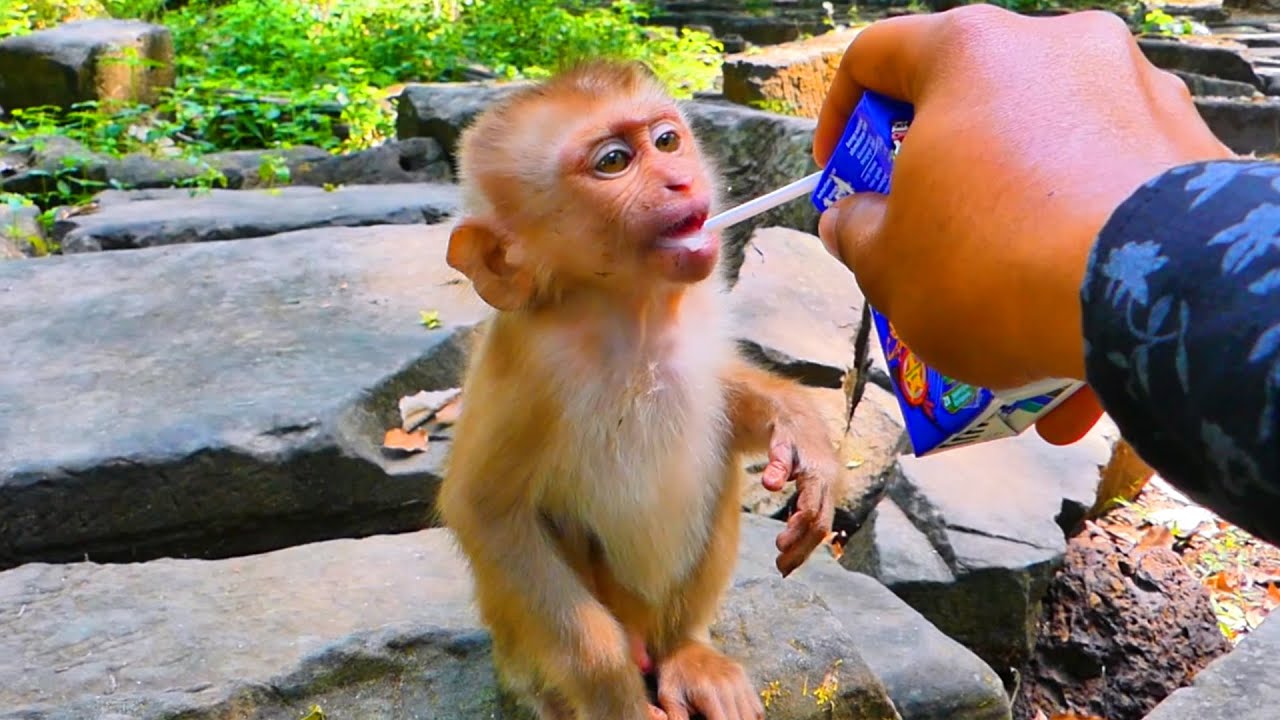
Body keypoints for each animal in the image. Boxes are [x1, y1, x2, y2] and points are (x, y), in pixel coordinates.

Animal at [437, 59, 840, 720]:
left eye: (668, 141)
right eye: (614, 161)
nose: (680, 180)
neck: (634, 314)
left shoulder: (703, 306)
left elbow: (728, 403)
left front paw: (804, 439)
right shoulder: (528, 366)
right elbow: (488, 511)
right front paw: (610, 689)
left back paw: (687, 650)